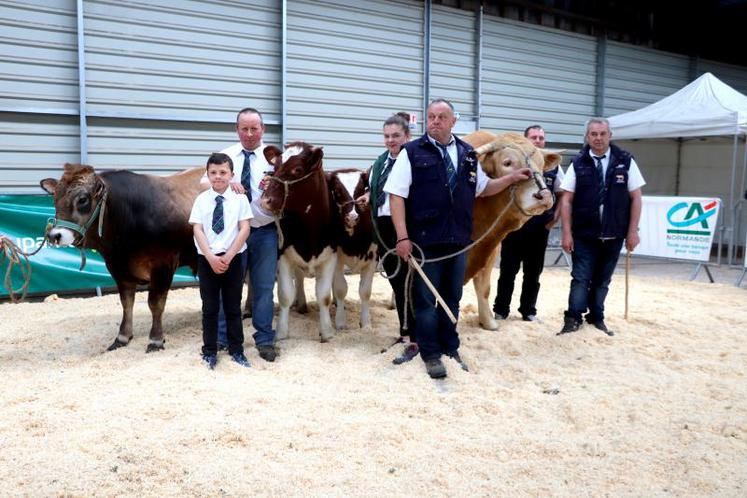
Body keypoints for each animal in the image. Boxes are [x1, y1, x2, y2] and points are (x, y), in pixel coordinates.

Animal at [39, 163, 206, 350]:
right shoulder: (117, 267)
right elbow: (126, 302)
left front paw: (155, 339)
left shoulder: (164, 264)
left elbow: (155, 303)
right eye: (54, 199)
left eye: (82, 200)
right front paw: (122, 337)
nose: (54, 235)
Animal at [462, 131, 560, 330]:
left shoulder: (491, 247)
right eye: (507, 163)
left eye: (541, 165)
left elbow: (484, 288)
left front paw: (488, 322)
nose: (544, 195)